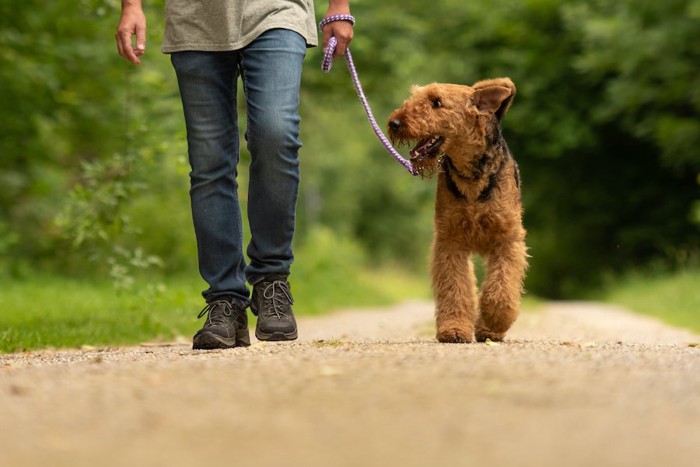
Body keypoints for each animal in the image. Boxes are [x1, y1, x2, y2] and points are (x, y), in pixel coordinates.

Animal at [386, 77, 528, 344]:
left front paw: (494, 320)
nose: (394, 123)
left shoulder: (507, 238)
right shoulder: (450, 240)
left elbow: (501, 287)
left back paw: (489, 329)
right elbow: (455, 288)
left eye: (436, 102)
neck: (471, 176)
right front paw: (453, 329)